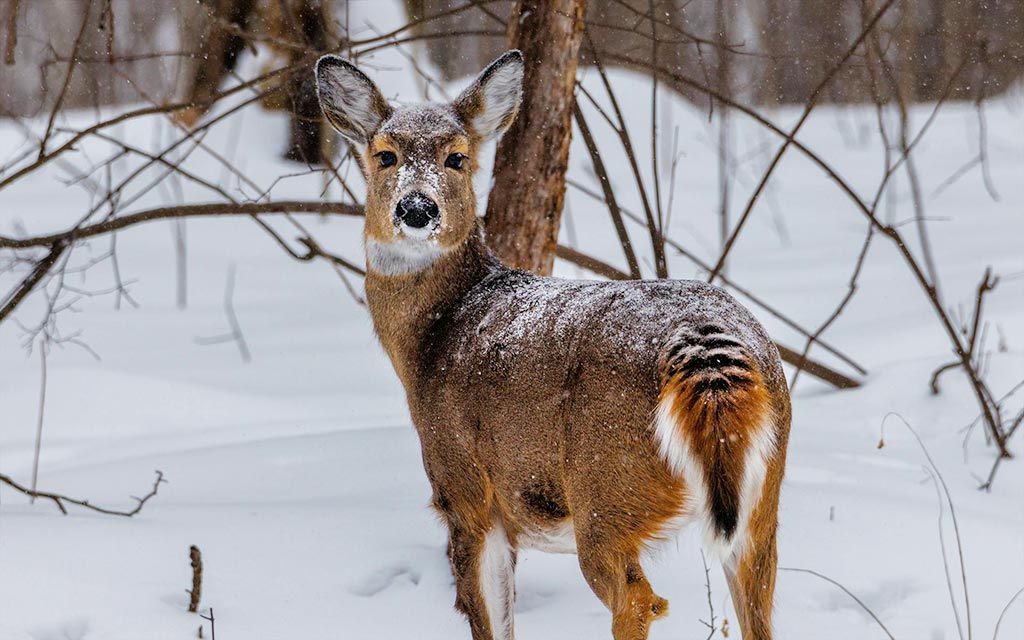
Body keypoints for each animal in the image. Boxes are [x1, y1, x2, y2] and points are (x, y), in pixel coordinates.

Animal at [315, 50, 791, 640]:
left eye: (457, 157)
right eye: (385, 155)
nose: (417, 209)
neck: (433, 336)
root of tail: (705, 343)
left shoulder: (465, 491)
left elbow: (489, 619)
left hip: (605, 490)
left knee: (639, 599)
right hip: (761, 502)